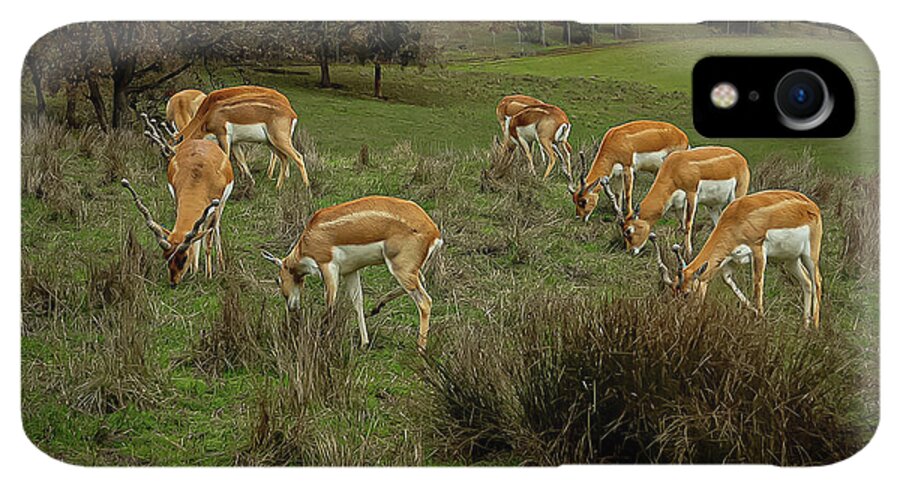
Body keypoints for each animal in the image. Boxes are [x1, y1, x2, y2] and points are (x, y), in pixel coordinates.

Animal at [123, 115, 235, 286]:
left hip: (221, 206)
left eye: (184, 258)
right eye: (166, 256)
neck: (199, 177)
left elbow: (207, 241)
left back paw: (220, 264)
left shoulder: (214, 208)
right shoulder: (178, 199)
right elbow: (195, 237)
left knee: (215, 228)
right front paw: (193, 270)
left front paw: (208, 275)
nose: (173, 282)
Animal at [172, 85, 308, 190]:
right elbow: (241, 159)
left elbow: (226, 158)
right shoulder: (235, 143)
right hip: (271, 142)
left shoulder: (223, 136)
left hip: (279, 140)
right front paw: (250, 181)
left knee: (298, 157)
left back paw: (306, 187)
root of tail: (292, 113)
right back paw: (278, 186)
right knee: (284, 158)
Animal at [261, 196, 443, 351]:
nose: (291, 307)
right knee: (420, 283)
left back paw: (420, 348)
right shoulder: (350, 271)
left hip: (400, 268)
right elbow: (357, 302)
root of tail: (434, 231)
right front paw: (364, 343)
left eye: (278, 280)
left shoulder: (328, 267)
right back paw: (376, 307)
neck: (309, 239)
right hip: (408, 270)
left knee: (425, 301)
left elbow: (330, 304)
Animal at [599, 146, 750, 258]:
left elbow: (688, 224)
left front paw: (688, 252)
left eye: (629, 230)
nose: (630, 251)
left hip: (736, 196)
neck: (674, 168)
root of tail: (740, 158)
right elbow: (682, 226)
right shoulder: (678, 205)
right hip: (712, 206)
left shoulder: (691, 194)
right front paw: (681, 249)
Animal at [650, 190, 823, 328]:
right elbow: (729, 282)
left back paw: (814, 327)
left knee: (817, 281)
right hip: (791, 260)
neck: (737, 217)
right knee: (807, 282)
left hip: (810, 256)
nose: (680, 318)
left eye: (686, 293)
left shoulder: (758, 251)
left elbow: (757, 284)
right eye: (673, 292)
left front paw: (760, 318)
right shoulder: (729, 260)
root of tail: (812, 206)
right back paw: (805, 325)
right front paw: (755, 312)